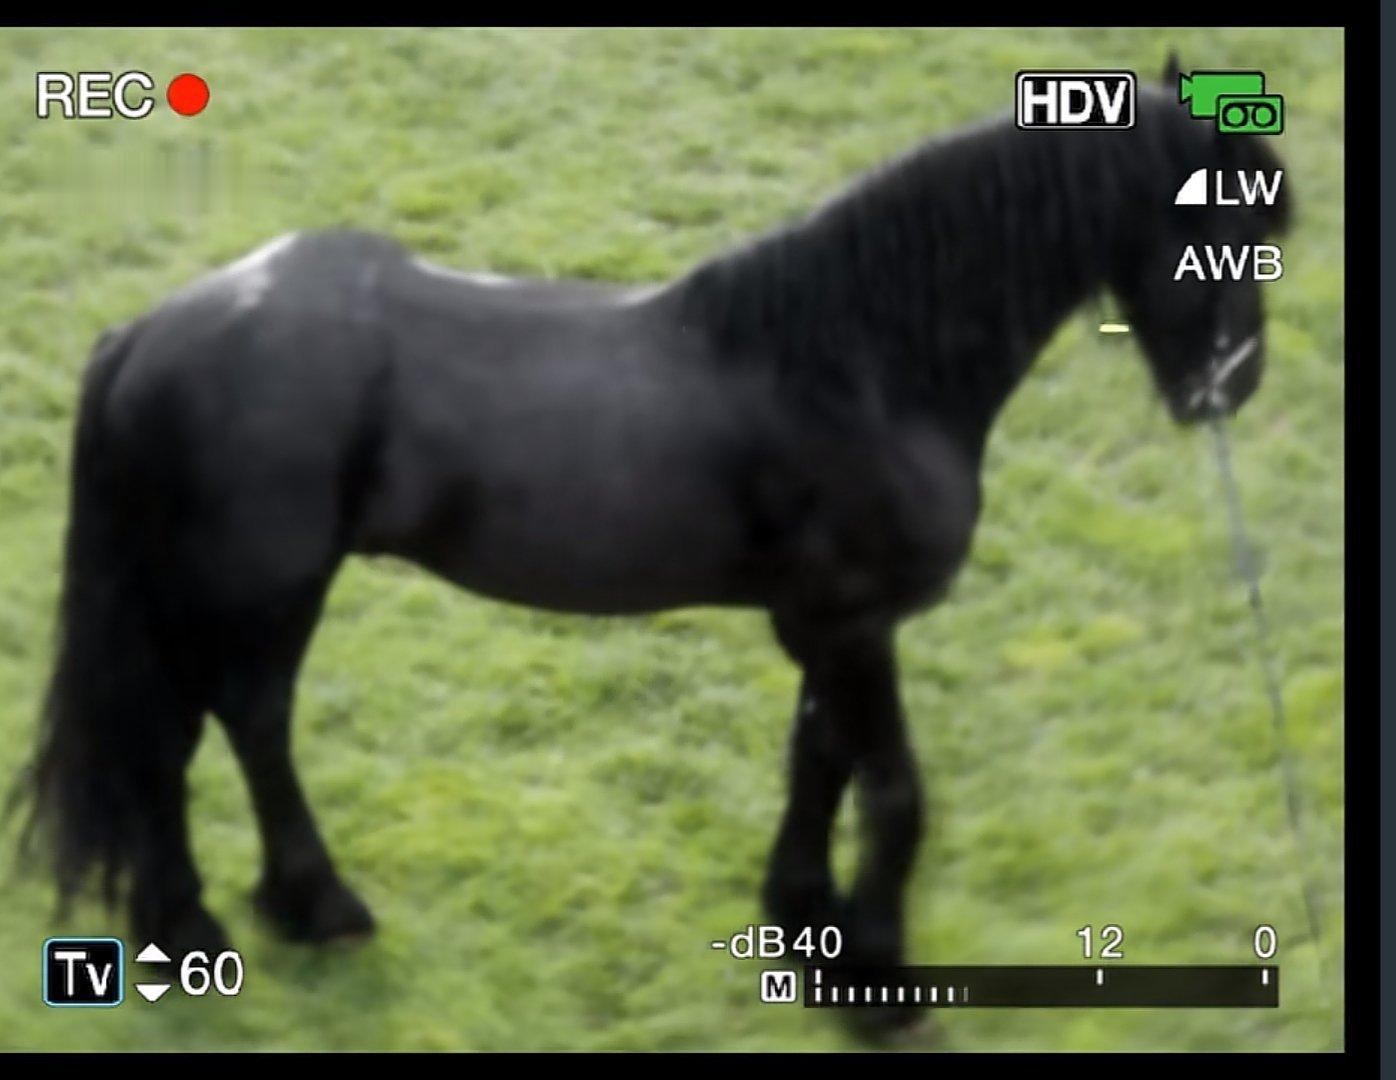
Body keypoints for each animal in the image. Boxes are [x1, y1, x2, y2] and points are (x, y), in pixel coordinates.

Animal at [17, 61, 1287, 1033]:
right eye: (1216, 223)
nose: (1228, 389)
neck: (860, 362)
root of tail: (149, 331)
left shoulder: (819, 627)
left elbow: (818, 759)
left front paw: (804, 918)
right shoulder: (854, 621)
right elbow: (892, 790)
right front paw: (878, 981)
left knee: (245, 723)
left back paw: (295, 906)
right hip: (248, 588)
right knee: (183, 739)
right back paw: (206, 923)